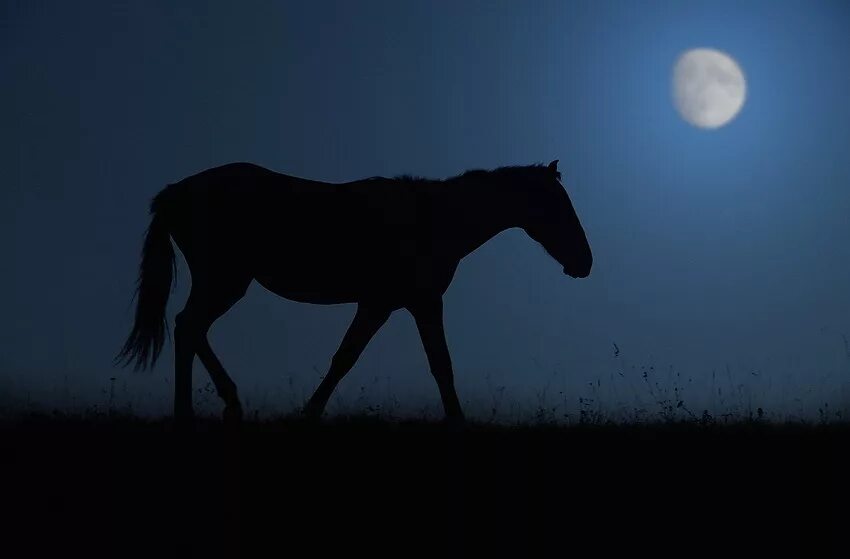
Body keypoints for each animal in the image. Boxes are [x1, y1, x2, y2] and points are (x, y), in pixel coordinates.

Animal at [114, 159, 588, 424]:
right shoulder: (412, 302)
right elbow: (431, 364)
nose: (585, 262)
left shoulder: (389, 304)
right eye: (558, 206)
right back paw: (206, 407)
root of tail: (173, 193)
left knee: (189, 330)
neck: (432, 217)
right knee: (188, 327)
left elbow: (355, 358)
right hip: (225, 281)